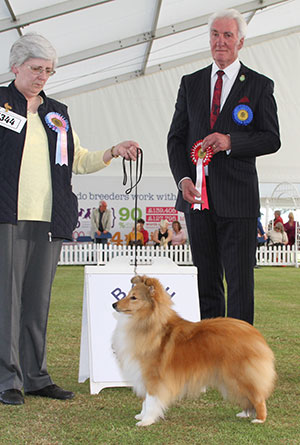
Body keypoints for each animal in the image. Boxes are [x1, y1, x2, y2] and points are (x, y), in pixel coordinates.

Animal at [112, 276, 276, 424]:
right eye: (127, 294)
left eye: (134, 297)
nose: (114, 304)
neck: (148, 322)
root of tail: (254, 333)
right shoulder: (144, 375)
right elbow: (146, 401)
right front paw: (142, 416)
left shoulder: (153, 376)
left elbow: (151, 400)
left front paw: (146, 421)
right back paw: (244, 413)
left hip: (240, 374)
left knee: (258, 396)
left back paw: (259, 419)